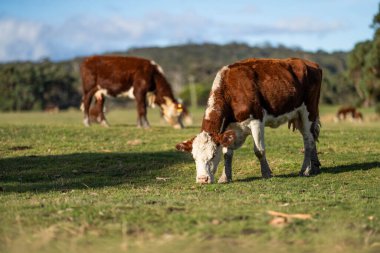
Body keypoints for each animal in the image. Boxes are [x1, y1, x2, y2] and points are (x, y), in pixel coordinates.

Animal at [177, 57, 322, 184]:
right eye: (194, 157)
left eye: (212, 155)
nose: (202, 179)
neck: (230, 91)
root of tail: (309, 63)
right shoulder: (228, 129)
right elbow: (227, 154)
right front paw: (225, 177)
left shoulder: (256, 121)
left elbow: (259, 150)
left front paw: (266, 173)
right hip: (298, 116)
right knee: (310, 137)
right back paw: (314, 167)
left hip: (309, 111)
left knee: (308, 141)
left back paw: (305, 170)